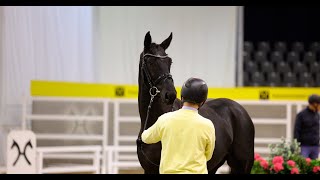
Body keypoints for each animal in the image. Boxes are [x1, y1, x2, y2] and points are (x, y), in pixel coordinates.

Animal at [136, 31, 255, 174]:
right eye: (150, 61)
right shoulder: (149, 170)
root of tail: (240, 110)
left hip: (242, 165)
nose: (170, 94)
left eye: (170, 62)